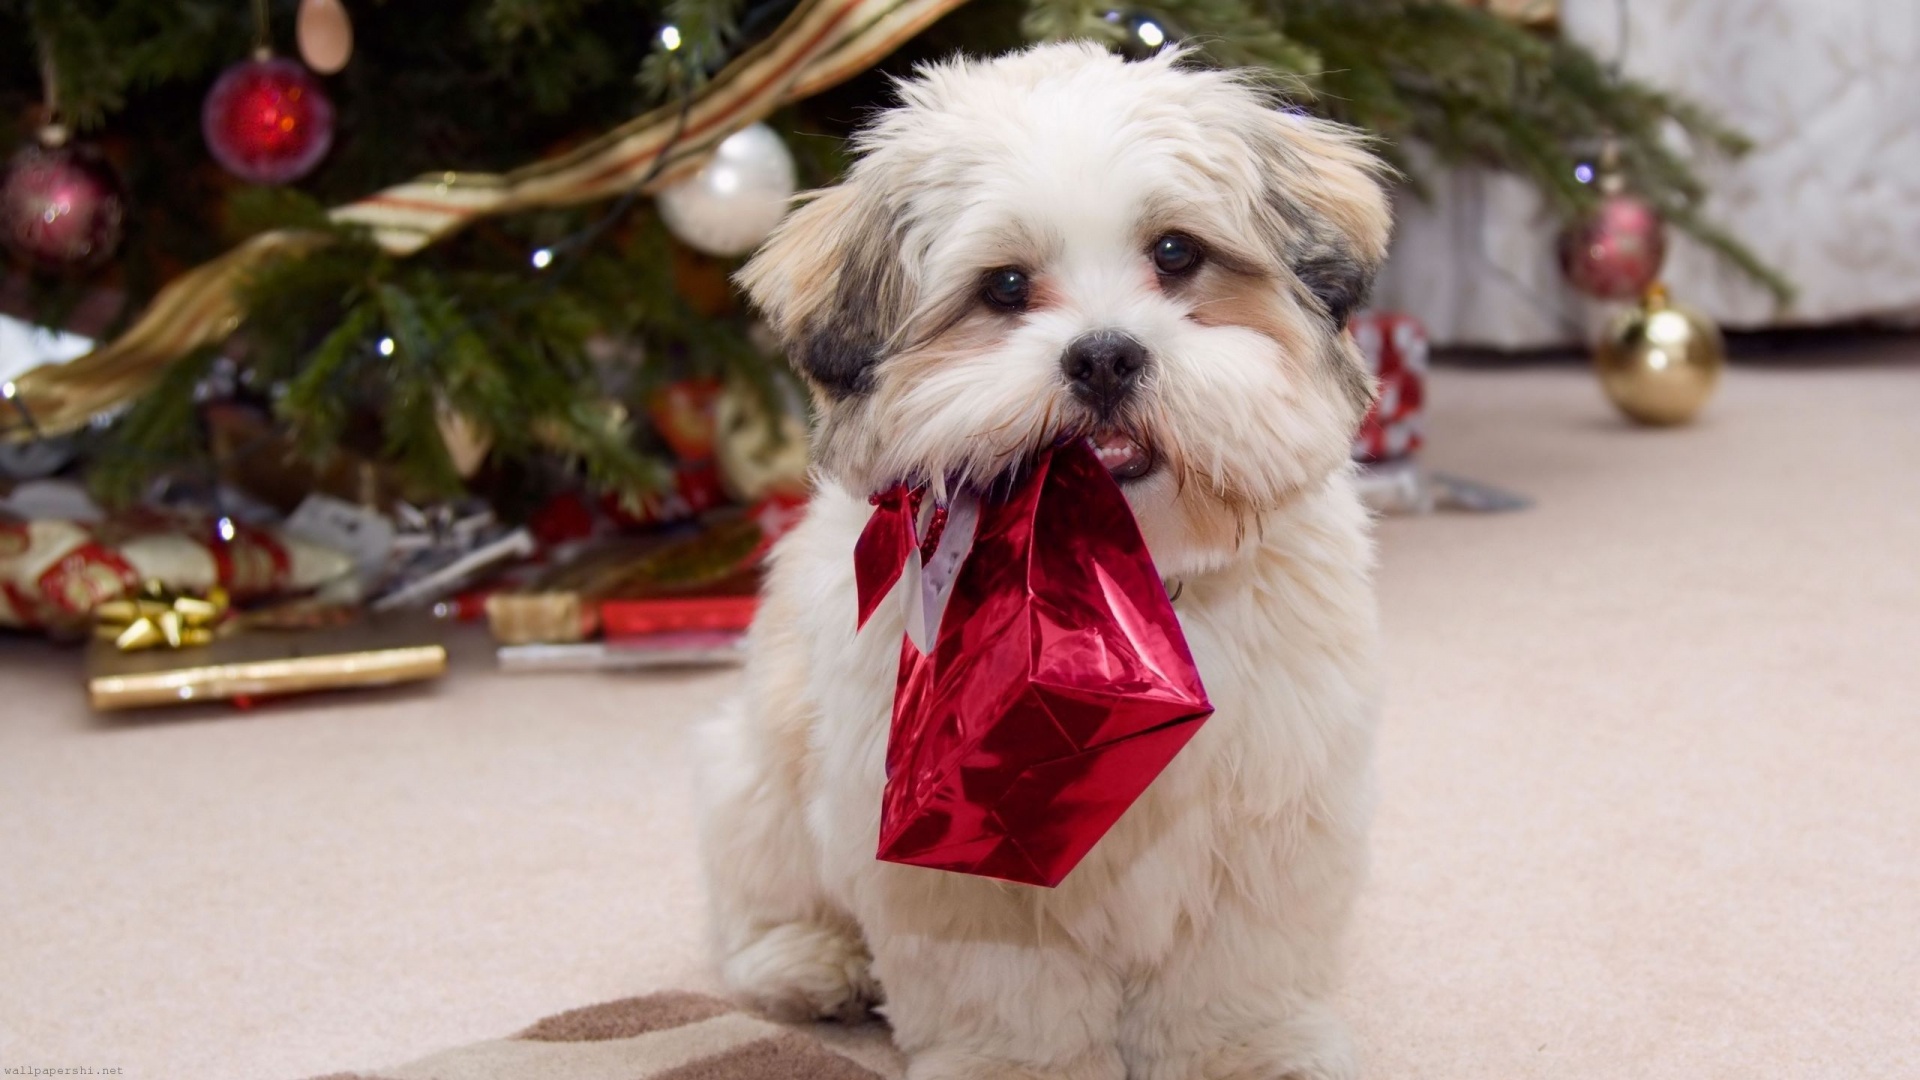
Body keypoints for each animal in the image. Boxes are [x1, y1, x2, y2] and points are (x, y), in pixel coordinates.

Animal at [698, 39, 1390, 1076]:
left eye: (1176, 253)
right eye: (1006, 288)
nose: (1104, 356)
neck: (1116, 586)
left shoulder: (1268, 816)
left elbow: (1235, 973)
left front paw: (1249, 1049)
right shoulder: (963, 848)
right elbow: (1008, 993)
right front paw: (1016, 1065)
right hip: (760, 773)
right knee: (756, 901)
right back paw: (810, 962)